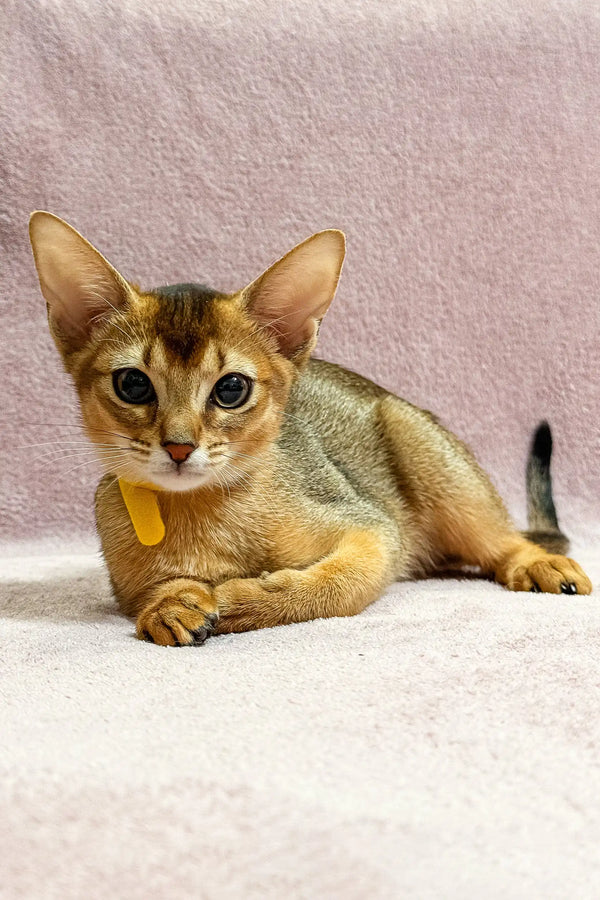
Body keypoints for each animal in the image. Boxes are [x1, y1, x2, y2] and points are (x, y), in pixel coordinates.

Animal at [28, 214, 592, 644]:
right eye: (133, 385)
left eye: (231, 389)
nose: (179, 447)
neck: (207, 511)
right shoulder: (125, 581)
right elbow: (153, 590)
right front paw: (172, 605)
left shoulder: (372, 528)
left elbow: (337, 583)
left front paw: (242, 597)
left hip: (431, 461)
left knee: (502, 540)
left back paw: (538, 564)